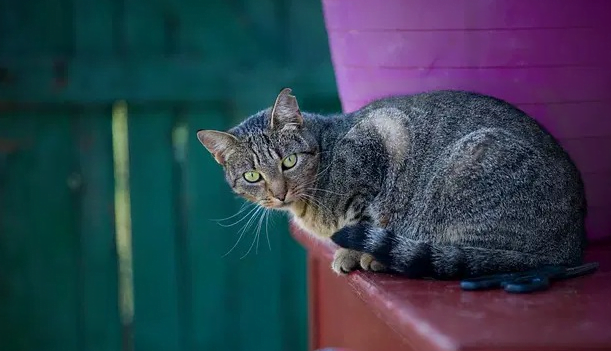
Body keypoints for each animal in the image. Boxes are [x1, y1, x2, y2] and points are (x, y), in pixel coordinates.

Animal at [197, 88, 588, 280]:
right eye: (253, 176)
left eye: (288, 161)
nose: (279, 193)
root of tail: (570, 247)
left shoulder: (381, 138)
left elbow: (363, 217)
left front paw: (350, 254)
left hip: (466, 171)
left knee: (469, 258)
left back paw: (382, 259)